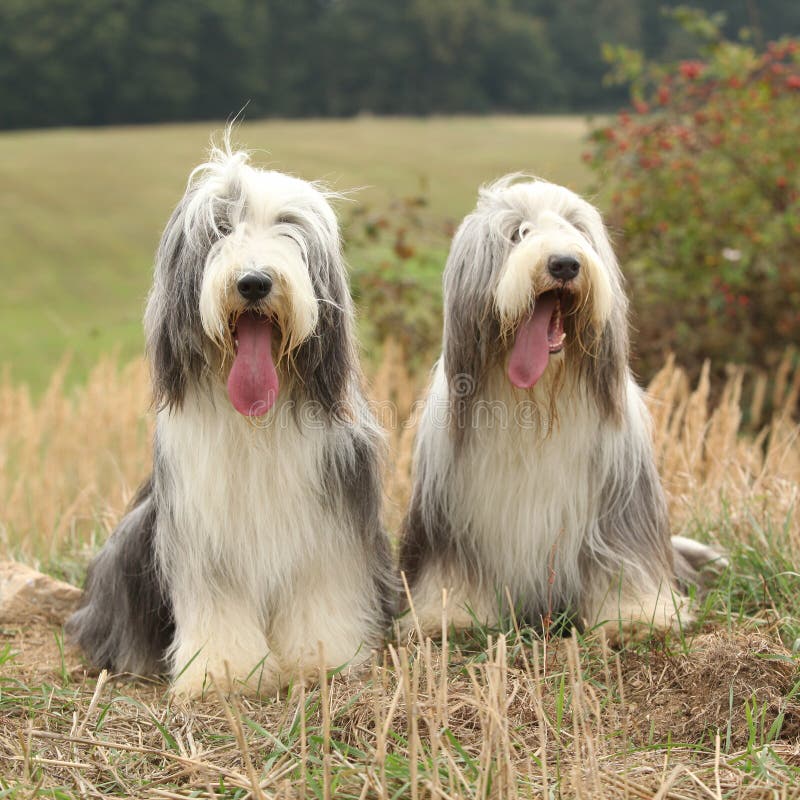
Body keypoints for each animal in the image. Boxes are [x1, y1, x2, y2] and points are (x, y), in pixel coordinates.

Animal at [67, 141, 396, 696]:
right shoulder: (204, 527)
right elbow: (218, 601)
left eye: (287, 227)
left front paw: (320, 658)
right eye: (220, 227)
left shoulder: (329, 522)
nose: (255, 282)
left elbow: (319, 588)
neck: (254, 422)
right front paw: (222, 672)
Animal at [400, 177, 720, 644]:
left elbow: (623, 561)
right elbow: (452, 568)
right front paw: (450, 615)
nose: (565, 264)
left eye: (576, 230)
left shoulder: (619, 506)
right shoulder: (450, 514)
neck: (536, 404)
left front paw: (635, 615)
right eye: (518, 233)